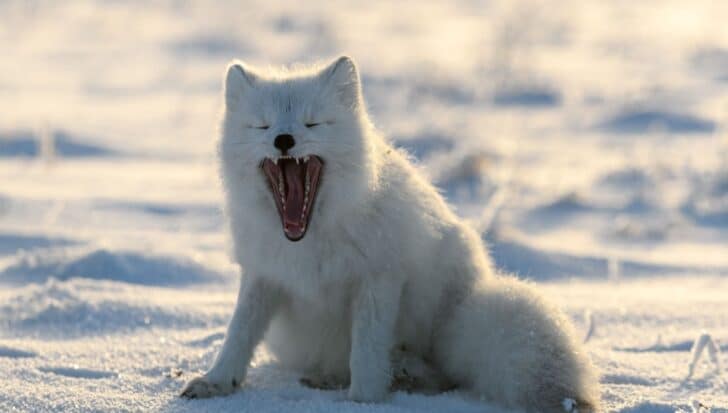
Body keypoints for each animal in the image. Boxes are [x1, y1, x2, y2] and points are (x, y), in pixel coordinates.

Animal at [179, 55, 600, 412]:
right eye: (262, 125)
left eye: (313, 123)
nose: (284, 140)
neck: (310, 239)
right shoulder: (263, 274)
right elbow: (239, 333)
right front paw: (216, 382)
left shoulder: (379, 278)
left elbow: (366, 351)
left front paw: (363, 401)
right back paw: (332, 378)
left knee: (438, 374)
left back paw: (403, 371)